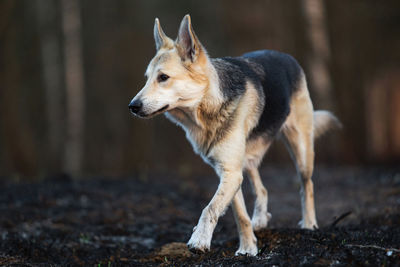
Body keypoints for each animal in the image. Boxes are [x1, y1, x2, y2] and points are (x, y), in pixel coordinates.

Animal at [129, 15, 340, 258]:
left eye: (163, 77)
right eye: (147, 79)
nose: (132, 106)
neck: (206, 108)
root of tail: (285, 55)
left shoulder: (231, 173)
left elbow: (209, 208)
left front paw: (199, 240)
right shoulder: (229, 172)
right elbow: (240, 215)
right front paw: (248, 247)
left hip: (301, 150)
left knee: (307, 186)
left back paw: (309, 224)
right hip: (246, 160)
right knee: (262, 189)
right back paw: (261, 219)